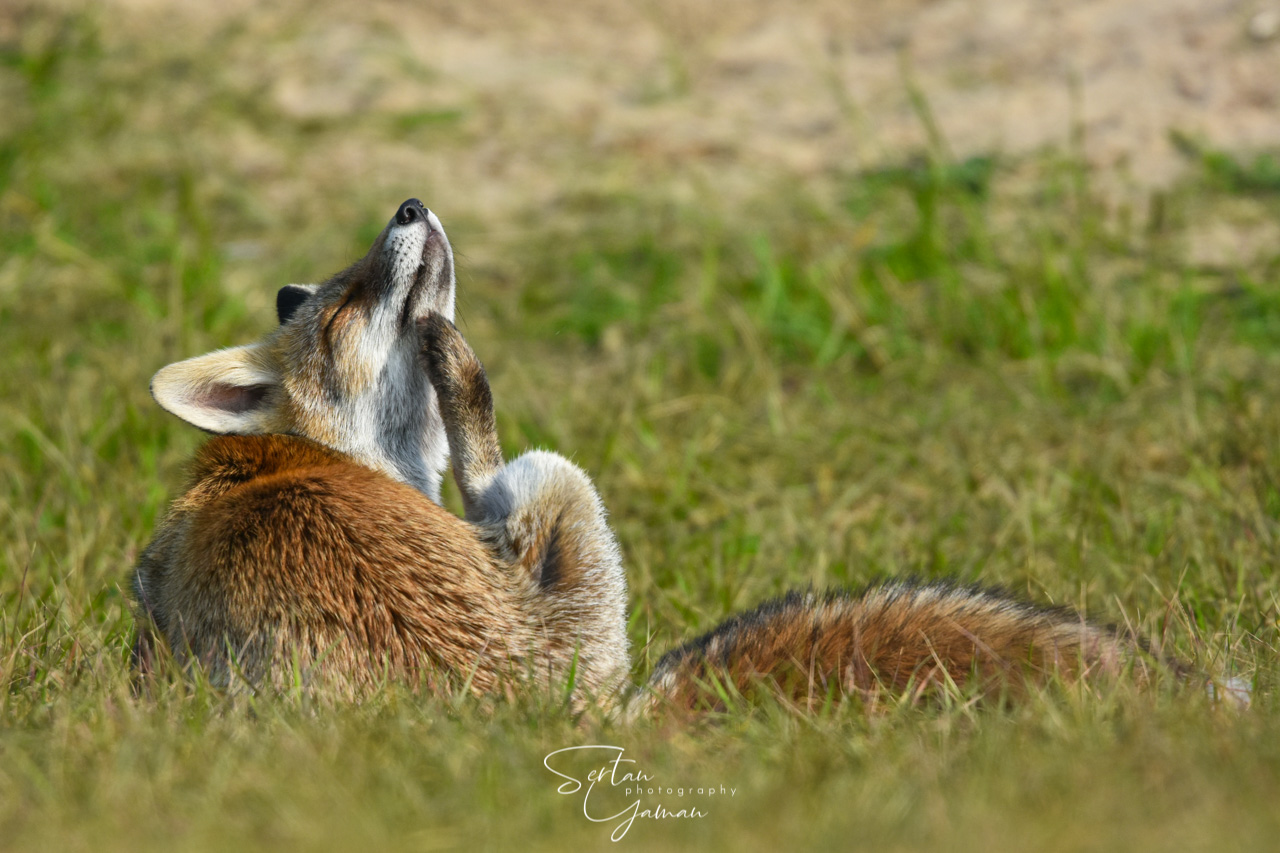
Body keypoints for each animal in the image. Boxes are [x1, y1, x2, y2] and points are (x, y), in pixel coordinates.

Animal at [134, 198, 1220, 713]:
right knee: (502, 470)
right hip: (564, 488)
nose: (409, 208)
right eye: (345, 307)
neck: (307, 459)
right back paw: (460, 368)